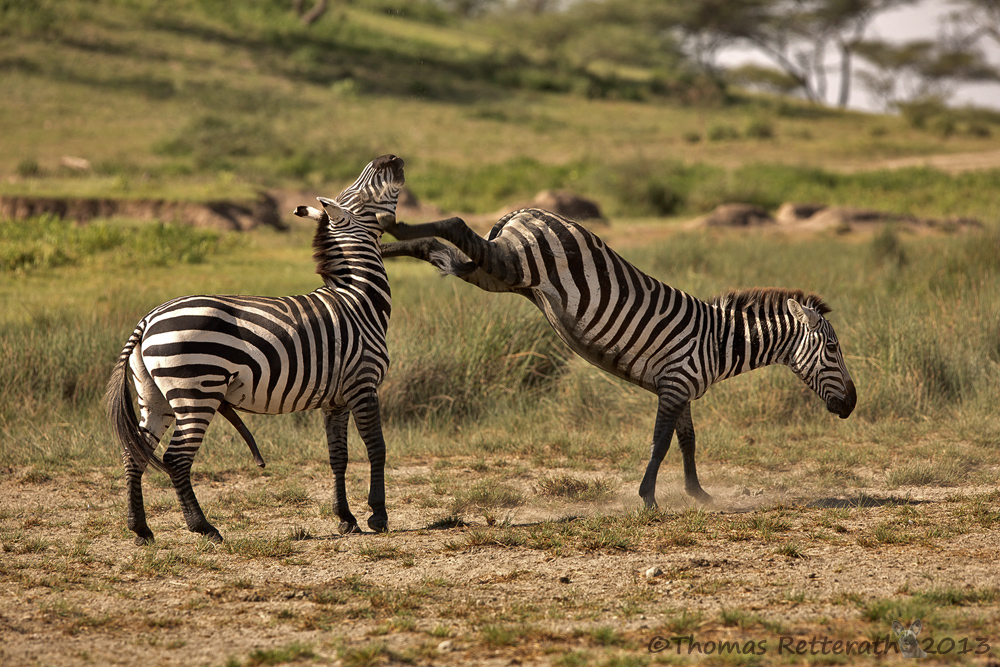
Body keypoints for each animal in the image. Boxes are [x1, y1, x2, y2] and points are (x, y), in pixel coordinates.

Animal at [107, 154, 404, 544]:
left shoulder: (335, 398)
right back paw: (204, 528)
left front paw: (345, 518)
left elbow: (337, 456)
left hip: (153, 395)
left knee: (135, 453)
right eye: (360, 193)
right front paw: (378, 515)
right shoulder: (363, 382)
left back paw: (140, 528)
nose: (391, 158)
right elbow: (376, 448)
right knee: (176, 459)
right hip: (196, 392)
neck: (360, 300)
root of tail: (148, 319)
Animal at [378, 209, 856, 506]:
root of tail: (526, 213)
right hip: (512, 263)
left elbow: (687, 440)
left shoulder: (680, 388)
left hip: (495, 274)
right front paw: (648, 498)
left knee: (437, 248)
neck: (719, 341)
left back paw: (382, 244)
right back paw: (391, 226)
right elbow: (661, 442)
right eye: (833, 350)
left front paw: (698, 494)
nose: (851, 405)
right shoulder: (675, 384)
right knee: (457, 224)